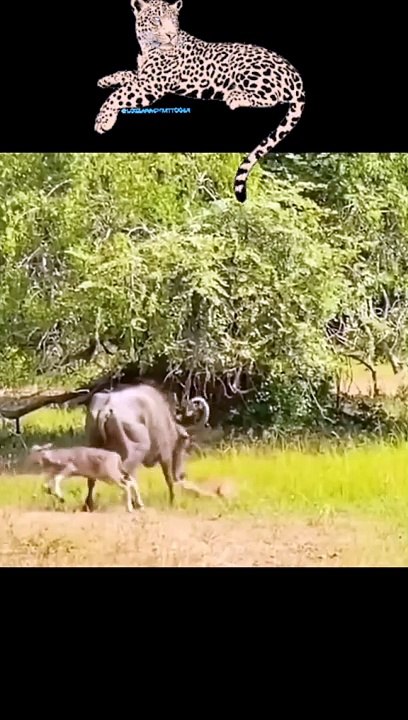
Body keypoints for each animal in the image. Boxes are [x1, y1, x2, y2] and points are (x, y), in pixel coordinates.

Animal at [95, 0, 305, 203]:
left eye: (174, 21)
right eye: (157, 20)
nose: (171, 35)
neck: (148, 48)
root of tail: (295, 74)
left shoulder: (152, 84)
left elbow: (118, 95)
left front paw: (103, 121)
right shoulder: (143, 77)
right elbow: (125, 74)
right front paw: (105, 80)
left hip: (248, 68)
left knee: (273, 96)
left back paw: (234, 97)